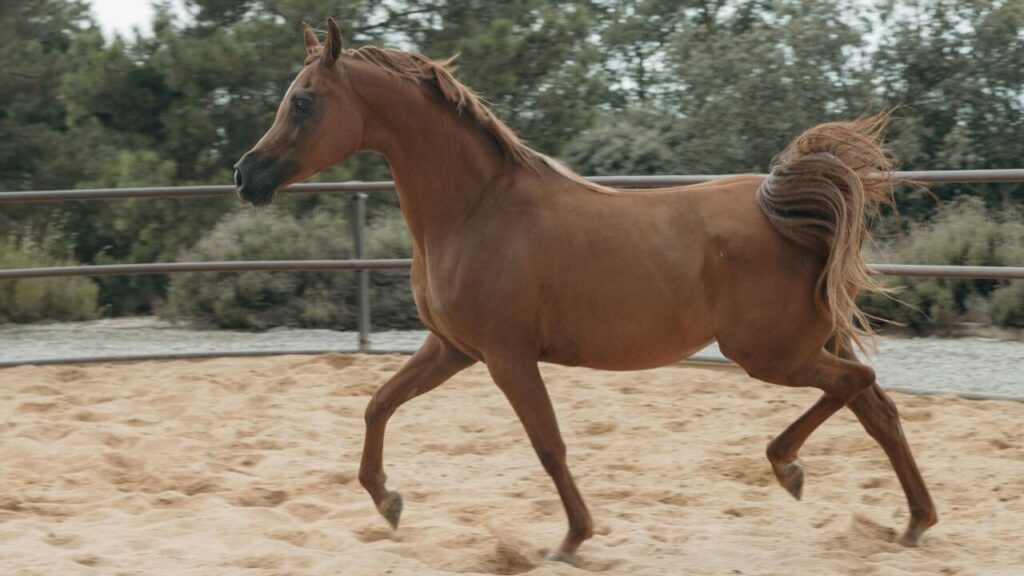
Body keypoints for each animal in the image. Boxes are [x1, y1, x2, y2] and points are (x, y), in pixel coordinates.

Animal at [233, 17, 937, 560]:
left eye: (303, 101)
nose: (245, 175)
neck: (475, 211)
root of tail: (781, 206)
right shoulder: (452, 348)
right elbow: (378, 404)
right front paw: (388, 502)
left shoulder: (508, 358)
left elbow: (548, 445)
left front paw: (572, 539)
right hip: (806, 346)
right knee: (877, 408)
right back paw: (913, 523)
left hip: (770, 355)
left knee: (859, 387)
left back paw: (790, 468)